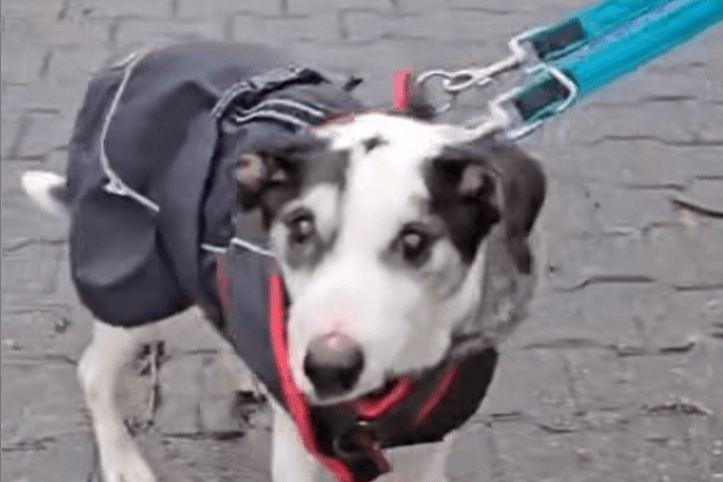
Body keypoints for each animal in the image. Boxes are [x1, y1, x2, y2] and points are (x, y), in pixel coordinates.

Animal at [19, 42, 544, 482]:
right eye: (301, 227)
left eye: (414, 240)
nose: (326, 368)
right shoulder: (301, 448)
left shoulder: (429, 443)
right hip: (141, 286)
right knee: (92, 372)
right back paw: (123, 461)